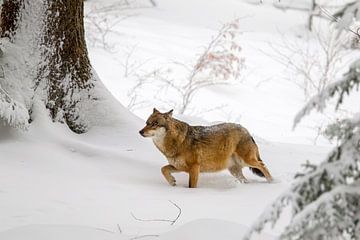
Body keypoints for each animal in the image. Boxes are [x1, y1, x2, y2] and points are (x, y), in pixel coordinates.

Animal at [139, 108, 272, 188]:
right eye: (147, 123)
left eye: (155, 124)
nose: (140, 131)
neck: (178, 142)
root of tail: (246, 130)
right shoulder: (180, 167)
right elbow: (163, 169)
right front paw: (172, 182)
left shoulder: (194, 168)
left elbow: (191, 186)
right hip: (234, 170)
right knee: (246, 179)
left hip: (248, 161)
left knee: (263, 166)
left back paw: (272, 182)